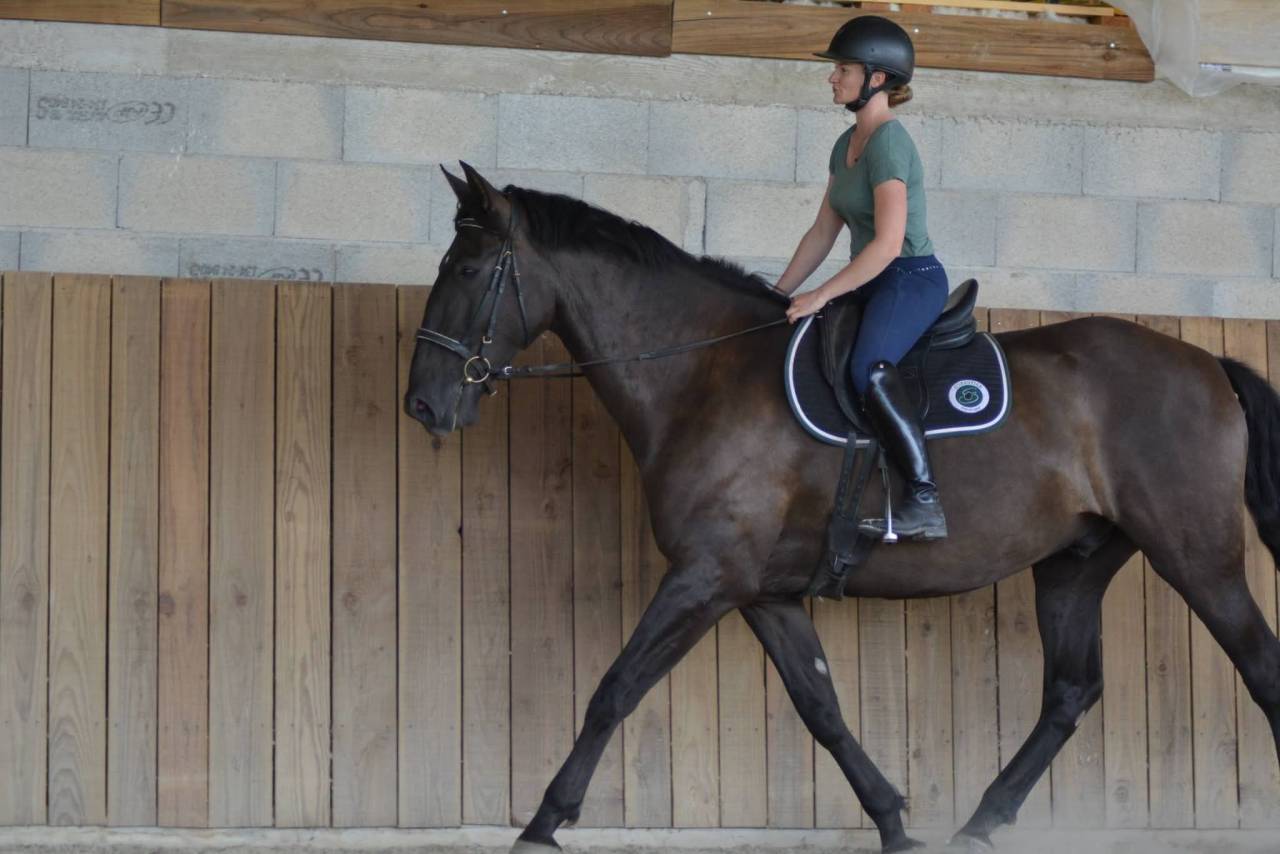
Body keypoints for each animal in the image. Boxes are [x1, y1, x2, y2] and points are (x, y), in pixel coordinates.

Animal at [403, 162, 1280, 853]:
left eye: (469, 271)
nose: (423, 404)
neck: (704, 374)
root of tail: (1207, 363)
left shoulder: (705, 576)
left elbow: (615, 689)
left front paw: (542, 824)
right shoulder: (760, 589)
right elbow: (820, 705)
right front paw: (894, 822)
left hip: (1197, 556)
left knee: (1259, 667)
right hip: (1075, 563)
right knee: (1068, 693)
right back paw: (978, 825)